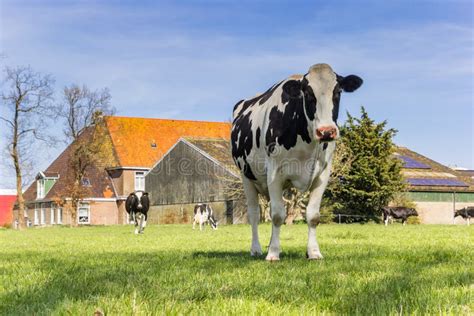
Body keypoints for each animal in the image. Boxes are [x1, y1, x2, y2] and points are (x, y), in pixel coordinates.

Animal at [231, 63, 362, 260]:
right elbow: (278, 215)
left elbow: (313, 215)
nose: (326, 131)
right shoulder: (274, 172)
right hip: (246, 176)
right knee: (254, 214)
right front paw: (273, 254)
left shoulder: (323, 173)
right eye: (307, 93)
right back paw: (256, 249)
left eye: (338, 91)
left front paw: (313, 252)